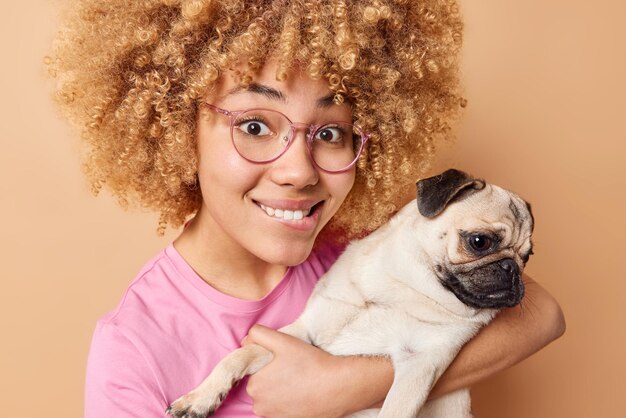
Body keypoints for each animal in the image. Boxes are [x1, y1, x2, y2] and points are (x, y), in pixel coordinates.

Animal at [166, 169, 532, 418]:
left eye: (527, 257)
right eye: (479, 242)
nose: (512, 270)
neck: (406, 288)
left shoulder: (420, 365)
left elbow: (394, 411)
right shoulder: (302, 334)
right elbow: (238, 356)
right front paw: (200, 398)